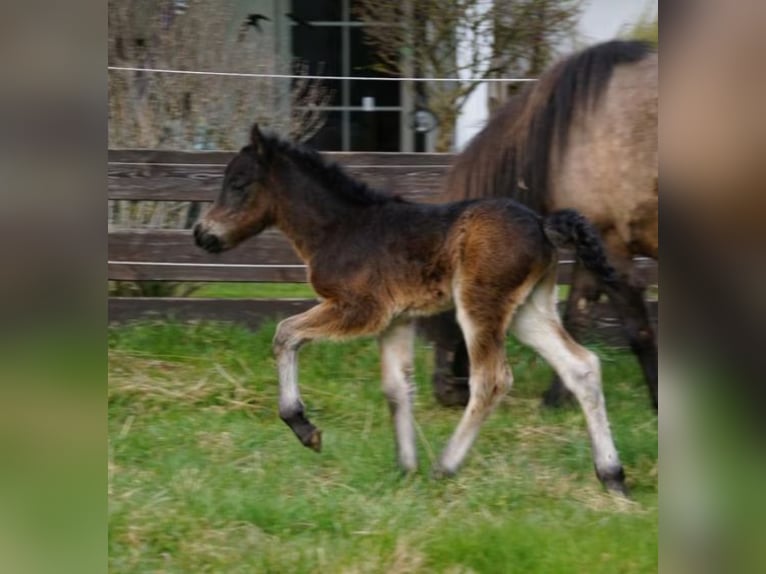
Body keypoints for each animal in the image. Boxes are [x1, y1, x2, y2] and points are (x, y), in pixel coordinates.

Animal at [193, 123, 628, 494]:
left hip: (479, 305)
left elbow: (285, 333)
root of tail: (542, 224)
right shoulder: (395, 320)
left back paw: (446, 467)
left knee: (491, 379)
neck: (340, 228)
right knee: (582, 367)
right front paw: (405, 470)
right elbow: (396, 389)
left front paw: (304, 427)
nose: (202, 234)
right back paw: (612, 476)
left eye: (238, 184)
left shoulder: (361, 310)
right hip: (527, 311)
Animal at [426, 39, 658, 410]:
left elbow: (638, 330)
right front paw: (559, 397)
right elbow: (575, 319)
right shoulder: (592, 247)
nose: (446, 390)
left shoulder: (613, 249)